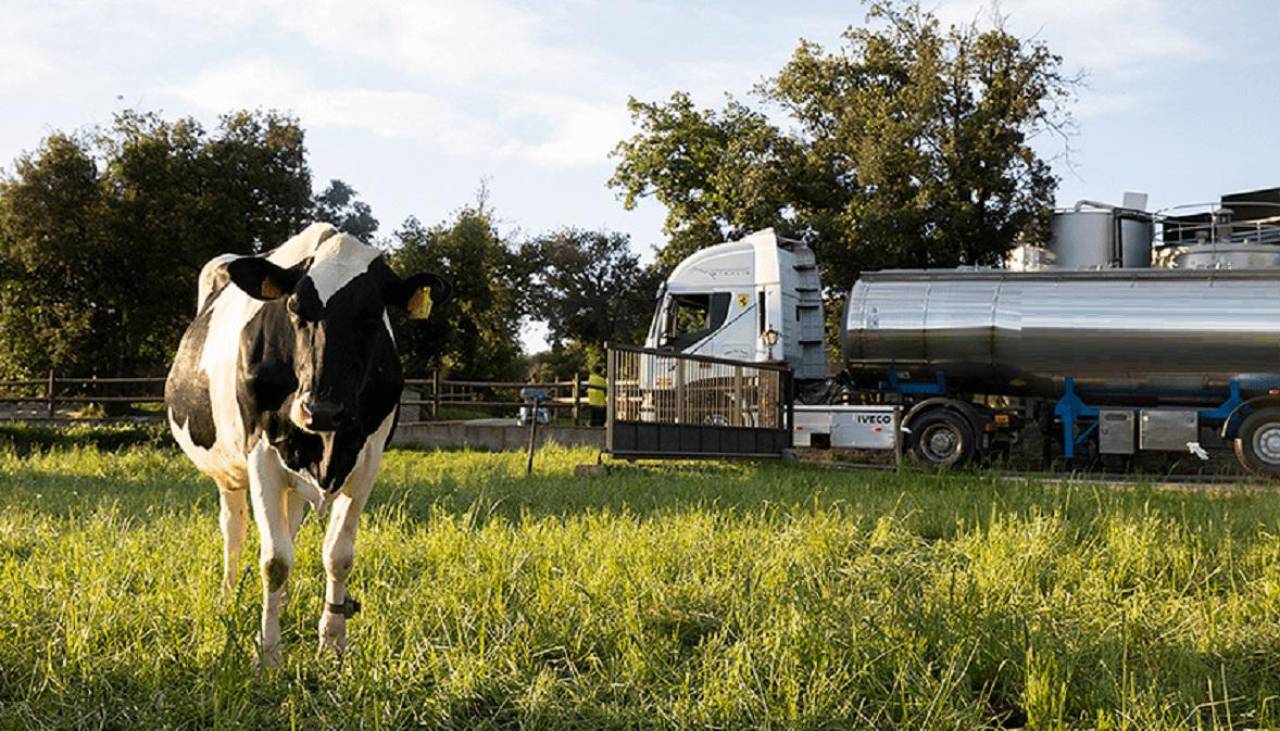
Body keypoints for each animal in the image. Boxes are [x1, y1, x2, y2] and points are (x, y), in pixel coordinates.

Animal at [166, 221, 450, 665]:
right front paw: (268, 653)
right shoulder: (261, 454)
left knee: (290, 525)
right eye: (296, 309)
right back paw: (229, 598)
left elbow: (338, 555)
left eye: (372, 316)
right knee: (235, 531)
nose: (322, 409)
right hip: (229, 473)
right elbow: (274, 560)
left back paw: (281, 604)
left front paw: (332, 643)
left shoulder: (367, 460)